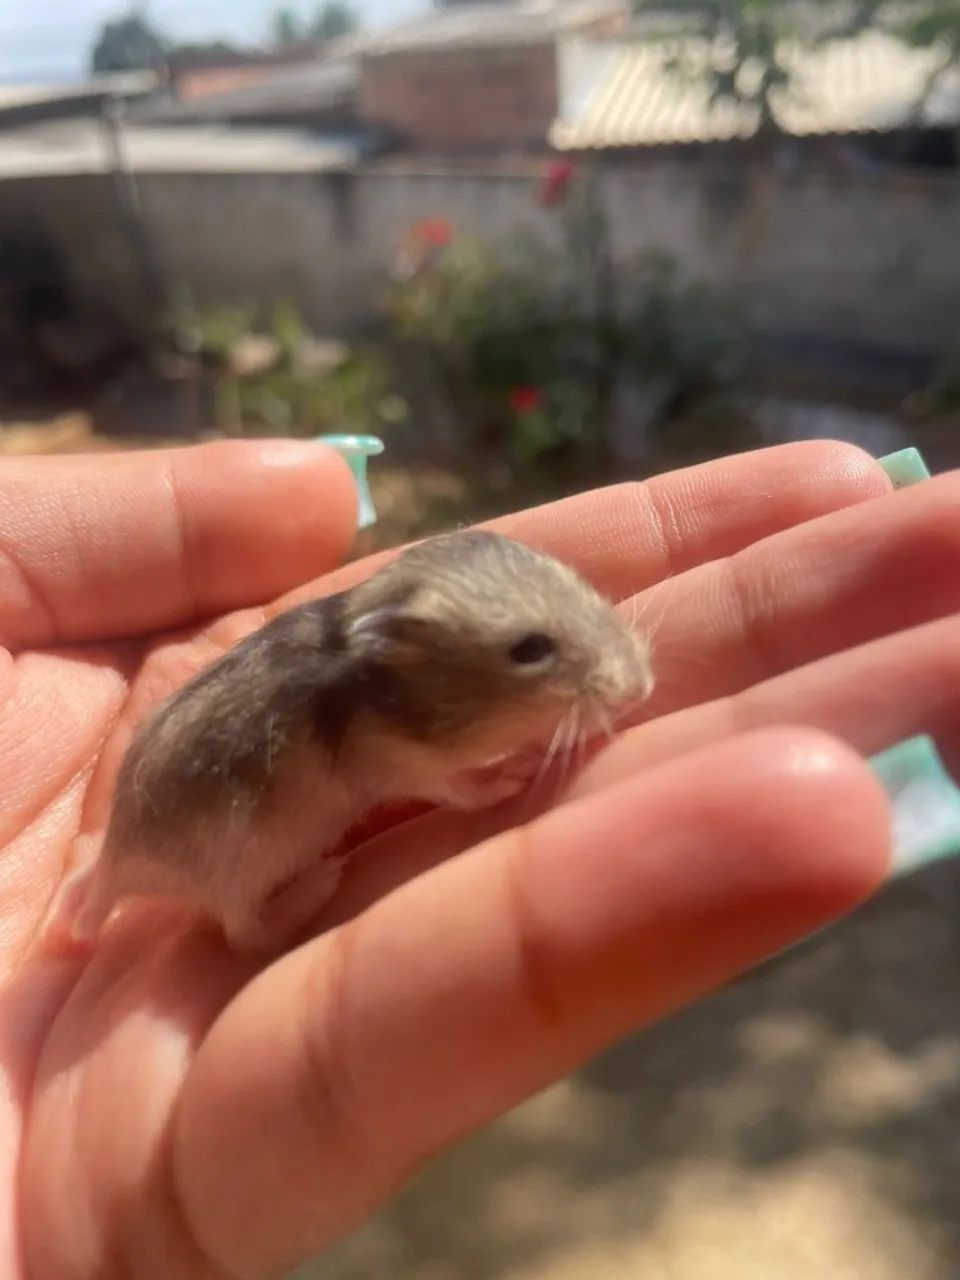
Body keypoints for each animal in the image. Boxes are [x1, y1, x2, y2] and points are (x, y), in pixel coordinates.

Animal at [44, 530, 654, 956]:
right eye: (530, 649)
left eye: (581, 583)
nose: (642, 687)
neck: (394, 693)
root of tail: (118, 863)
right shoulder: (402, 768)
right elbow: (463, 787)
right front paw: (517, 770)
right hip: (236, 871)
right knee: (245, 935)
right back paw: (319, 882)